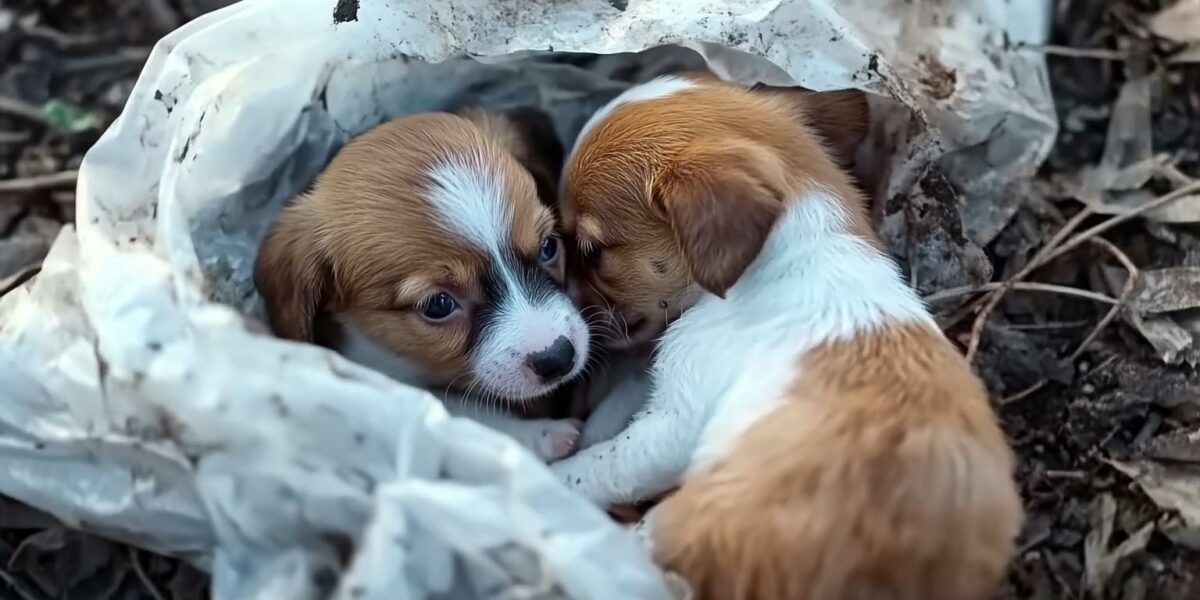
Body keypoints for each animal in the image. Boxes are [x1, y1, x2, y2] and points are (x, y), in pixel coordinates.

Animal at [552, 76, 1022, 600]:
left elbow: (602, 464)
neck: (796, 244)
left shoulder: (675, 420)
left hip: (686, 518)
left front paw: (554, 473)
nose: (571, 315)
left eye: (592, 252)